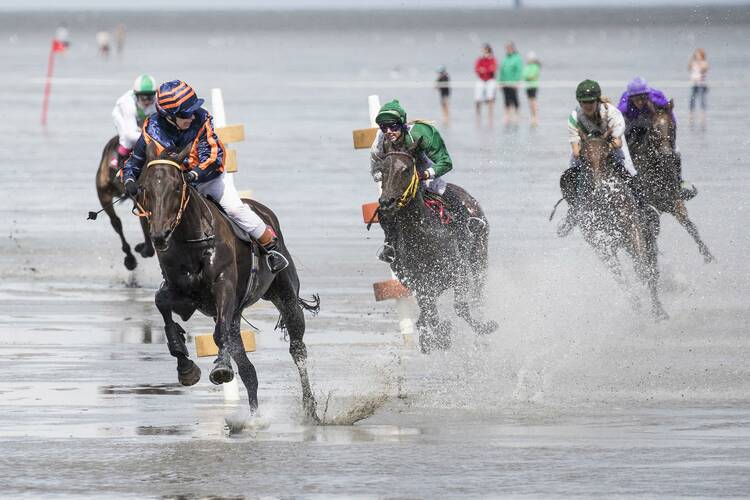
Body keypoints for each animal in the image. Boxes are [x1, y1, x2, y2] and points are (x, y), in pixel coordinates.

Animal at [135, 141, 320, 418]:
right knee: (248, 370)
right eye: (145, 188)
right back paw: (253, 418)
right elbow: (162, 304)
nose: (159, 235)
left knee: (297, 348)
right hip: (237, 315)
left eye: (176, 187)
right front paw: (185, 366)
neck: (192, 242)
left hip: (285, 294)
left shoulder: (225, 286)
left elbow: (219, 334)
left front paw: (221, 367)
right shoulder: (180, 293)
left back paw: (310, 408)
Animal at [378, 139, 496, 354]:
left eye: (406, 169)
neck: (423, 234)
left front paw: (486, 327)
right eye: (382, 170)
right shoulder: (420, 284)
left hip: (479, 256)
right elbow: (430, 315)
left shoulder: (457, 273)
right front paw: (437, 338)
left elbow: (460, 307)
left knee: (477, 296)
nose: (386, 202)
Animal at [576, 132, 668, 320]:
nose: (600, 189)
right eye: (583, 157)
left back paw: (659, 310)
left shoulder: (634, 228)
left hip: (647, 238)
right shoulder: (601, 245)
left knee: (651, 268)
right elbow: (620, 279)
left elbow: (643, 269)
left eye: (607, 156)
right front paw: (636, 303)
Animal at [628, 102, 716, 266]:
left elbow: (690, 226)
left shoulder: (674, 202)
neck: (656, 170)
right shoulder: (649, 206)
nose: (667, 153)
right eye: (655, 127)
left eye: (672, 126)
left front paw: (708, 255)